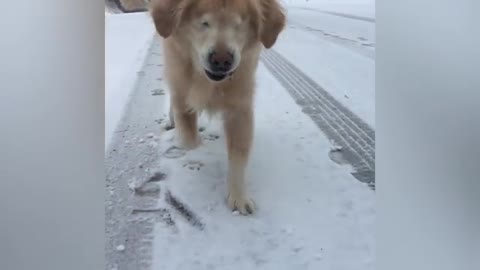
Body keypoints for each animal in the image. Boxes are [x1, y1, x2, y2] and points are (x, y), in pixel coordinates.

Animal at [150, 0, 284, 215]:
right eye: (204, 23)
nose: (222, 60)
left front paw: (239, 197)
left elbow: (239, 156)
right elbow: (190, 140)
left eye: (238, 24)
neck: (210, 82)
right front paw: (195, 148)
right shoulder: (181, 93)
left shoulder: (240, 107)